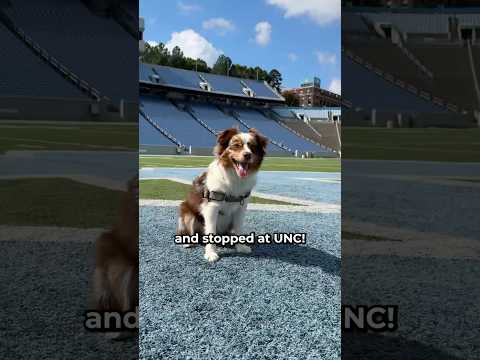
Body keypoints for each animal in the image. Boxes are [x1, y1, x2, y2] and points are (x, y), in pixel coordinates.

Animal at [177, 127, 268, 262]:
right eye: (236, 145)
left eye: (252, 147)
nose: (248, 155)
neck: (234, 178)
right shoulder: (212, 207)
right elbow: (211, 231)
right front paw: (211, 253)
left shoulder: (241, 207)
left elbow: (239, 228)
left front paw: (240, 246)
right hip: (187, 213)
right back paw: (188, 242)